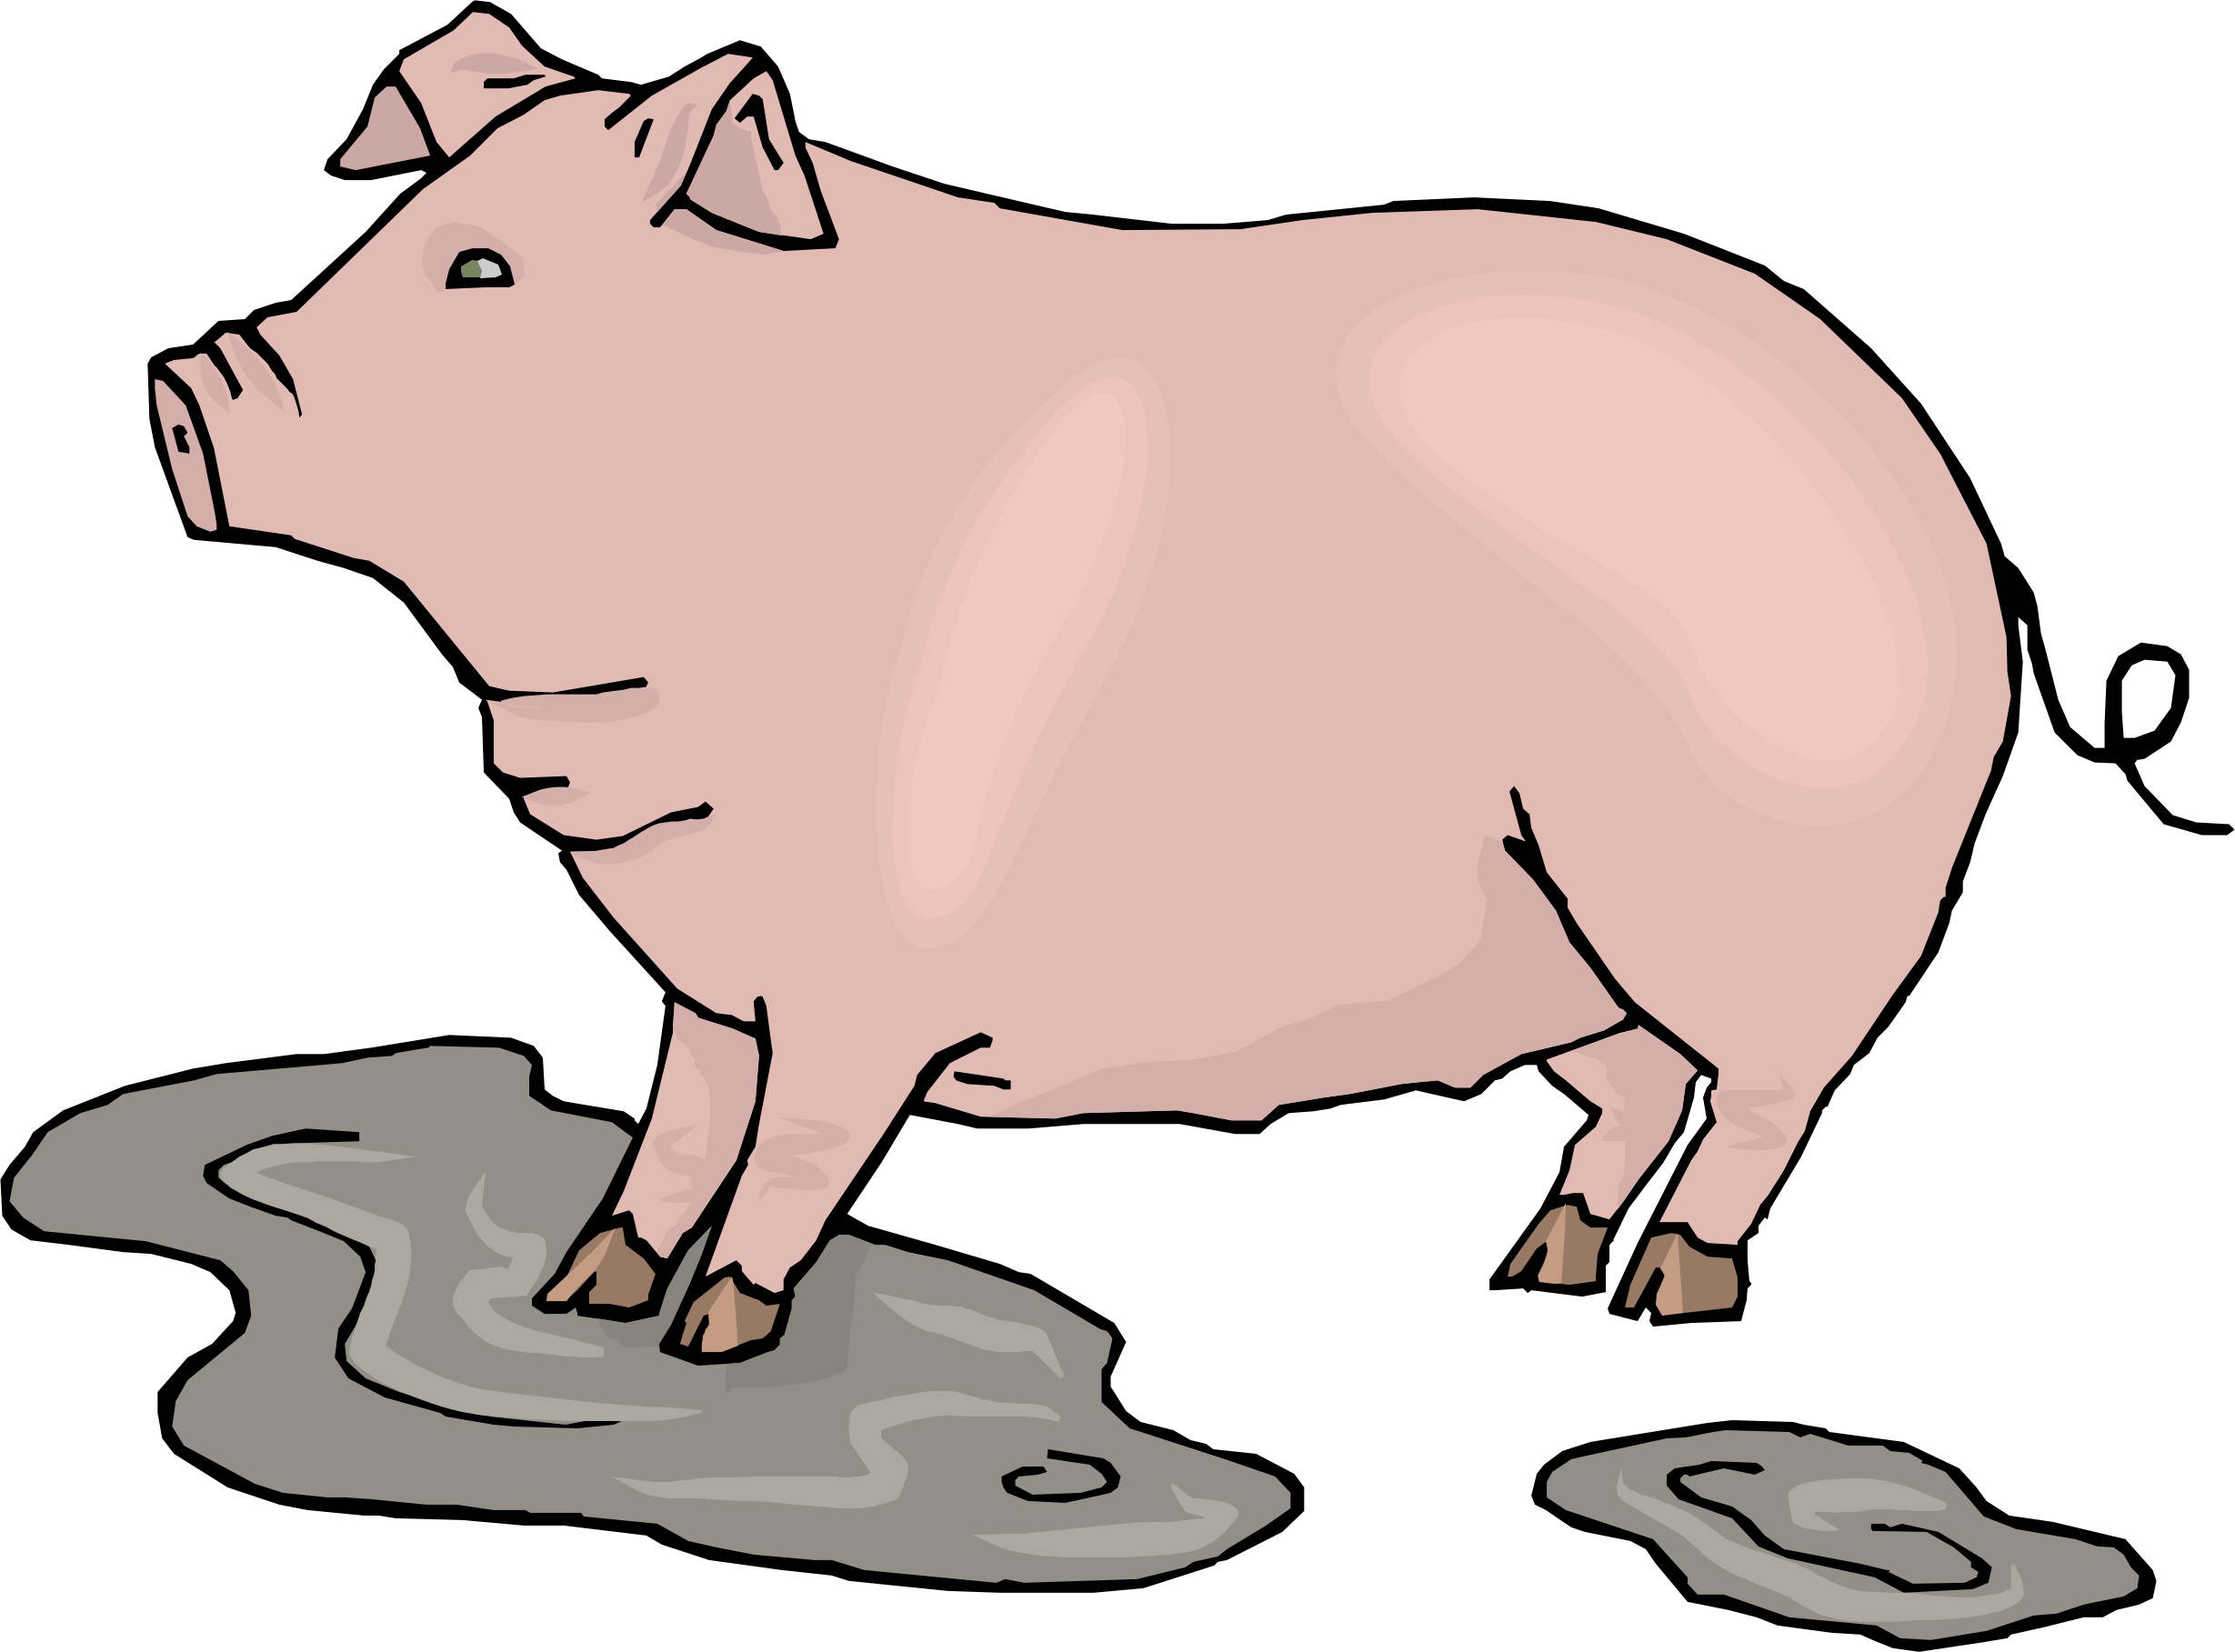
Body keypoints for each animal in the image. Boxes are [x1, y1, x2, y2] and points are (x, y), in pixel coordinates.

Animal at [147, 5, 2220, 1362]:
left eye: (485, 272)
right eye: (389, 234)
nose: (184, 378)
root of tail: (1965, 509)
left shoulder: (865, 978)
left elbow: (795, 1150)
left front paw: (711, 1339)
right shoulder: (711, 962)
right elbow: (677, 1121)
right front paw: (584, 1295)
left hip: (1752, 902)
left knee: (1773, 1090)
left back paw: (1663, 1300)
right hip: (1556, 949)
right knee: (1640, 1091)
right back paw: (1531, 1271)